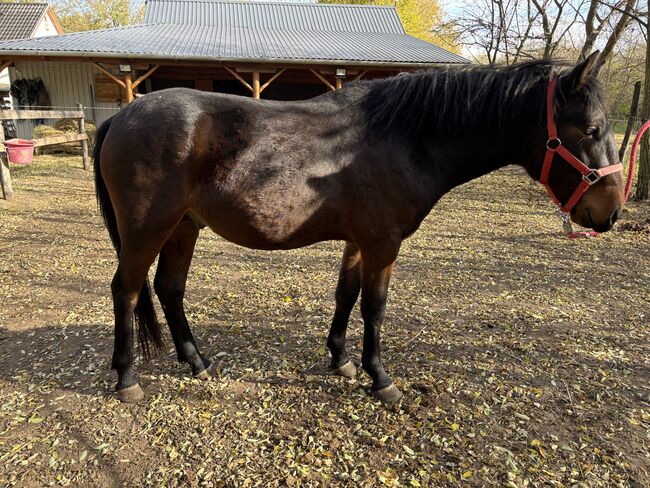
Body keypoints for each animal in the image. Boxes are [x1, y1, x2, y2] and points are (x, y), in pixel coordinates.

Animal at [93, 51, 624, 404]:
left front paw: (341, 359)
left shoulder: (357, 241)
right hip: (147, 230)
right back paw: (127, 379)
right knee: (127, 290)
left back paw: (197, 363)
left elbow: (346, 295)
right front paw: (380, 378)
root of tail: (121, 115)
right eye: (590, 130)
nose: (612, 211)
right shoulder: (381, 243)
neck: (405, 137)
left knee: (169, 289)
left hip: (184, 227)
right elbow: (375, 306)